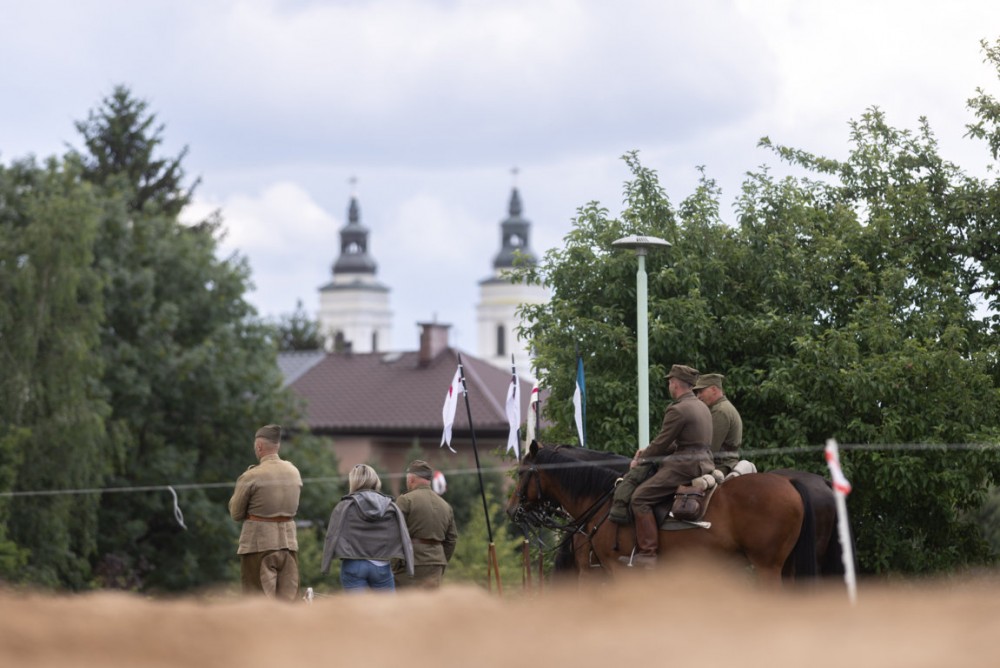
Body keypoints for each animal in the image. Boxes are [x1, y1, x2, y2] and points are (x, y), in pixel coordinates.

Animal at [507, 442, 815, 586]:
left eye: (521, 472)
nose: (511, 509)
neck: (602, 499)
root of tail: (790, 482)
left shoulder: (612, 571)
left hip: (767, 567)